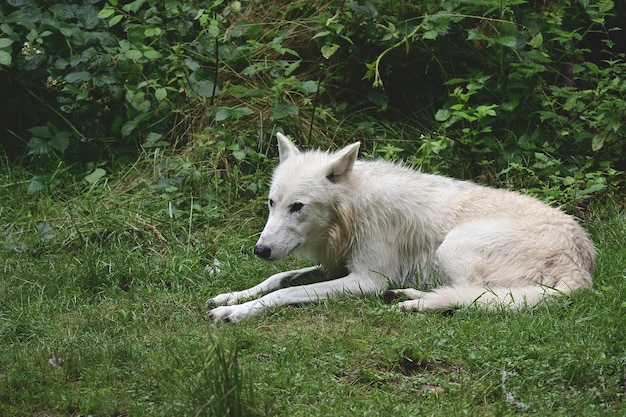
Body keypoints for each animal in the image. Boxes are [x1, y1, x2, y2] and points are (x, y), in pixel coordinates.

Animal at [206, 133, 596, 322]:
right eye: (272, 203)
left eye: (297, 207)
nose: (260, 250)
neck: (352, 211)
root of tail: (581, 262)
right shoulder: (338, 265)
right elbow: (277, 278)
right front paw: (231, 296)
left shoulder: (366, 280)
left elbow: (284, 293)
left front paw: (235, 313)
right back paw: (406, 296)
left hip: (452, 247)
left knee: (474, 295)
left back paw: (414, 304)